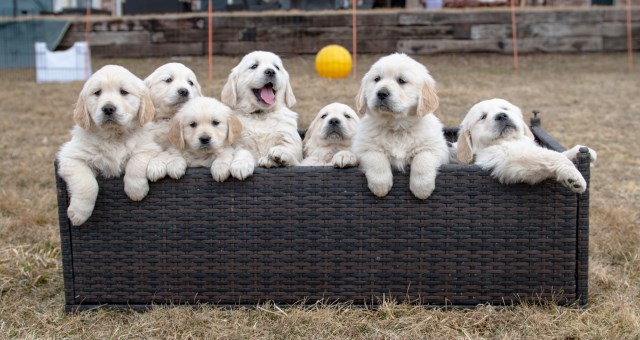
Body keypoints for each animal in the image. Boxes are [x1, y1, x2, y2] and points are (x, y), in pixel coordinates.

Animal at [56, 65, 161, 227]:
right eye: (97, 92)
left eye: (124, 92)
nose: (108, 108)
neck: (113, 137)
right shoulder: (70, 157)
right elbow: (88, 184)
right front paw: (79, 213)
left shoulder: (149, 147)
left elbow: (137, 160)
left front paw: (136, 190)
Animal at [350, 53, 450, 199]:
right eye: (377, 79)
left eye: (402, 81)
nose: (381, 93)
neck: (397, 127)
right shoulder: (363, 148)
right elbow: (376, 157)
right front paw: (380, 186)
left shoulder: (437, 149)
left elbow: (423, 158)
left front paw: (422, 188)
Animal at [456, 98, 596, 194]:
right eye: (483, 117)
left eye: (505, 108)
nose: (501, 115)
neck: (509, 140)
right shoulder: (509, 160)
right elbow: (555, 156)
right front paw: (574, 177)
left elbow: (558, 153)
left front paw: (581, 150)